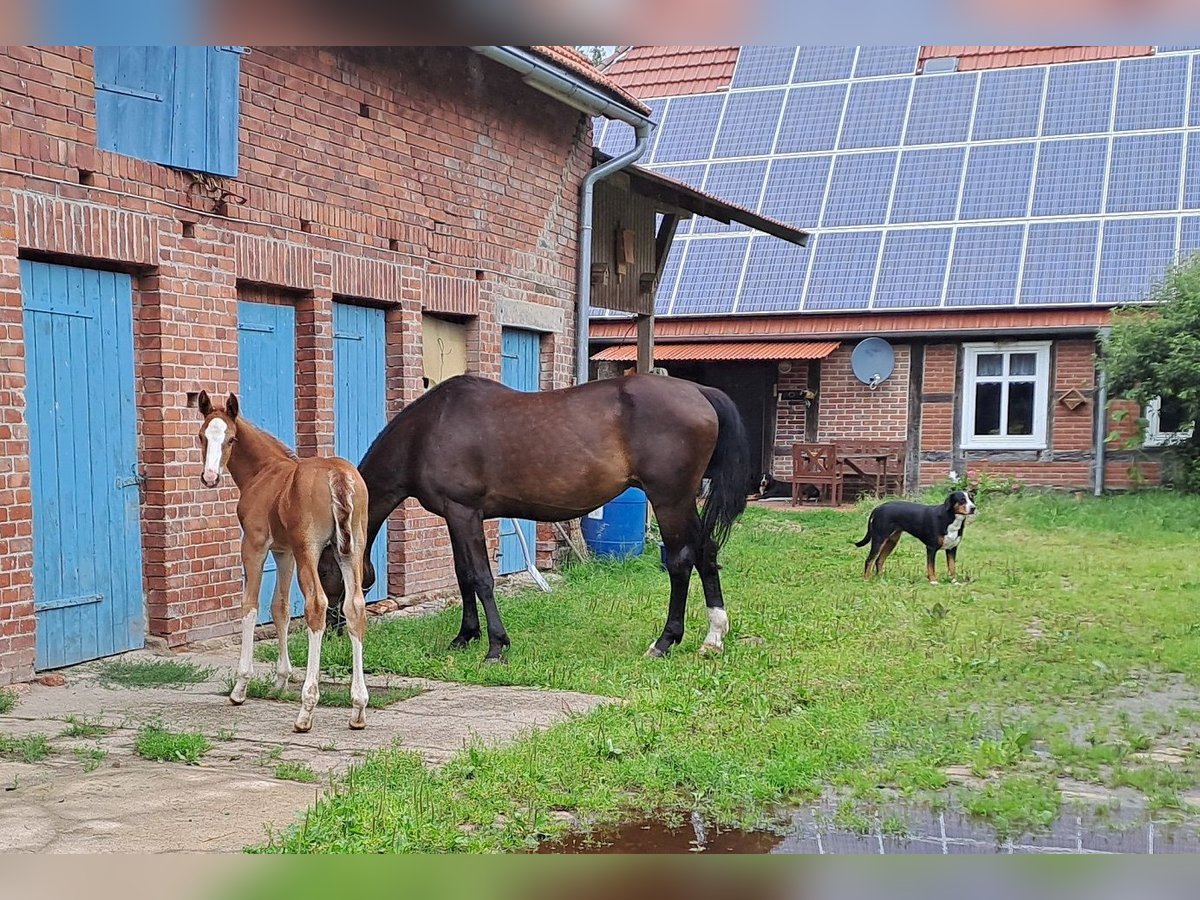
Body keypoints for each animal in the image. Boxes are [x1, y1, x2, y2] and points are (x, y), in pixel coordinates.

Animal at [194, 391, 369, 729]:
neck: (264, 472)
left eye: (231, 439)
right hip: (351, 548)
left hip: (309, 549)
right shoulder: (283, 552)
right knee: (354, 607)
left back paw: (306, 709)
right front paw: (280, 680)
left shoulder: (255, 545)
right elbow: (281, 608)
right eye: (201, 436)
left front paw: (240, 687)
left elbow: (249, 605)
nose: (209, 477)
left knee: (317, 605)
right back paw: (358, 708)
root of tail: (338, 475)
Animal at [319, 374, 748, 662]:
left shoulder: (464, 512)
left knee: (680, 560)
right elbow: (462, 575)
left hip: (669, 498)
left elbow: (480, 577)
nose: (335, 628)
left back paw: (665, 641)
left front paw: (495, 646)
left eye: (325, 569)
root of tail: (698, 391)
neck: (427, 431)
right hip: (682, 500)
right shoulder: (455, 515)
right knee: (707, 551)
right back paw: (713, 636)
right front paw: (465, 637)